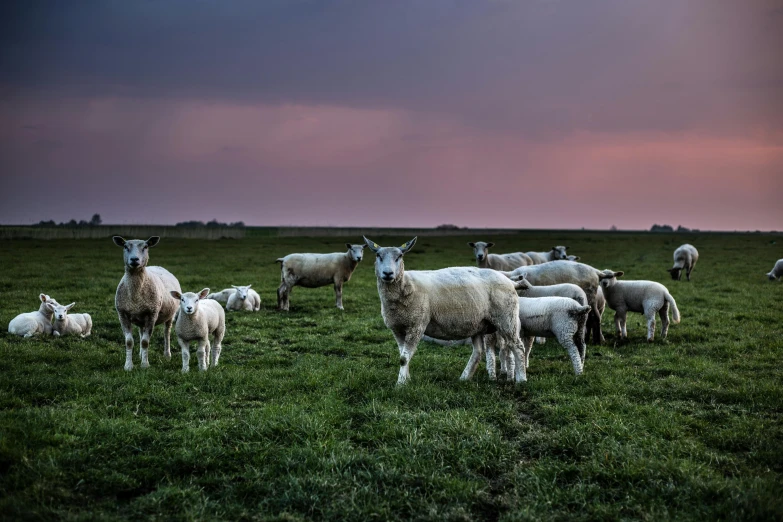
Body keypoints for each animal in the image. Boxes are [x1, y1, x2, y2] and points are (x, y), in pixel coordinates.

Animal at [113, 236, 182, 370]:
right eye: (125, 246)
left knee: (167, 333)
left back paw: (167, 354)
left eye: (145, 247)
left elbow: (145, 342)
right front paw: (128, 366)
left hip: (170, 315)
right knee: (141, 332)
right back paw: (140, 354)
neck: (135, 296)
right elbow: (129, 342)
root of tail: (158, 266)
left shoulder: (152, 315)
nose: (134, 259)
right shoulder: (122, 314)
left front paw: (145, 365)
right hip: (140, 316)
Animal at [366, 236, 528, 382]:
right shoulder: (398, 328)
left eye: (399, 256)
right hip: (478, 323)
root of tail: (510, 281)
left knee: (518, 346)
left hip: (507, 318)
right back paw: (464, 378)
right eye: (378, 255)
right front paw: (406, 379)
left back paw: (521, 380)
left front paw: (400, 384)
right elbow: (403, 355)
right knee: (478, 352)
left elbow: (404, 358)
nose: (388, 273)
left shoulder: (417, 325)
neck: (406, 284)